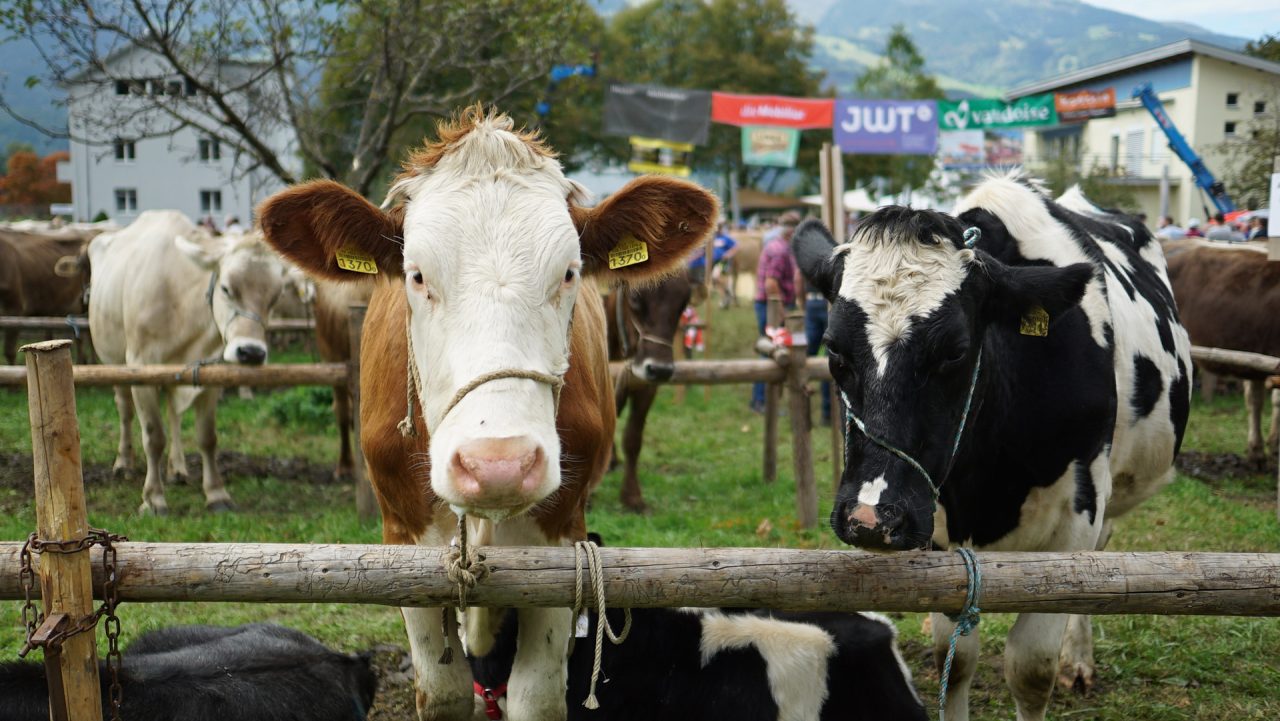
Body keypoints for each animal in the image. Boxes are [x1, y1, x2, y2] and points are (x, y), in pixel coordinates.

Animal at [89, 213, 296, 514]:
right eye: (226, 288)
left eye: (276, 296)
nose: (251, 352)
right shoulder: (141, 368)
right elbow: (153, 437)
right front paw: (153, 498)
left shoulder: (209, 374)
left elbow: (207, 437)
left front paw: (216, 493)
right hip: (113, 363)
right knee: (125, 411)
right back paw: (124, 463)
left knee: (173, 413)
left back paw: (177, 469)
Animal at [605, 273, 693, 511]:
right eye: (635, 296)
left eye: (684, 301)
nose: (660, 369)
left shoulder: (646, 387)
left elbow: (633, 439)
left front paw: (632, 497)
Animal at [794, 174, 1190, 721]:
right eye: (833, 349)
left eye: (955, 351)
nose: (871, 518)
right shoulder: (938, 529)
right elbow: (955, 658)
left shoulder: (1076, 519)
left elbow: (1031, 666)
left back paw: (1077, 661)